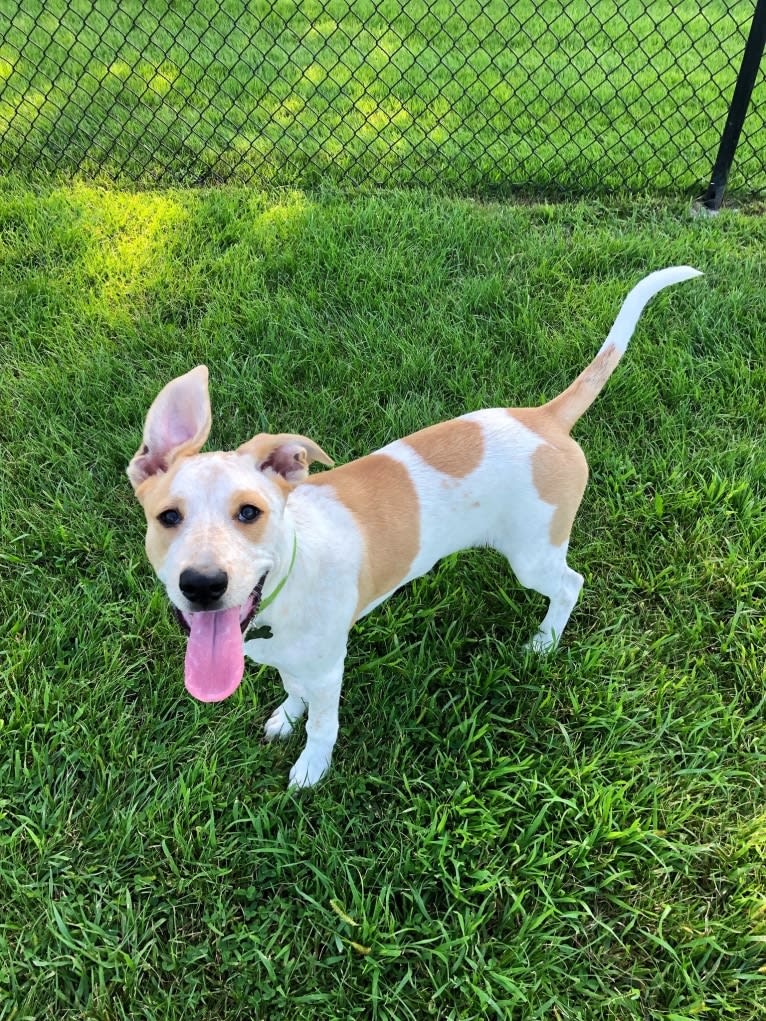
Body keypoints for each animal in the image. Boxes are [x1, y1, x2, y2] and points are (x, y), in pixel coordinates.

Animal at [129, 267, 706, 784]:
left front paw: (311, 769)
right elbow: (293, 690)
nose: (203, 585)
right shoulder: (290, 656)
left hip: (534, 553)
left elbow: (322, 723)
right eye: (168, 518)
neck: (286, 581)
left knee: (569, 583)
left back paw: (544, 642)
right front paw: (285, 717)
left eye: (249, 512)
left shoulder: (328, 666)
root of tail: (545, 418)